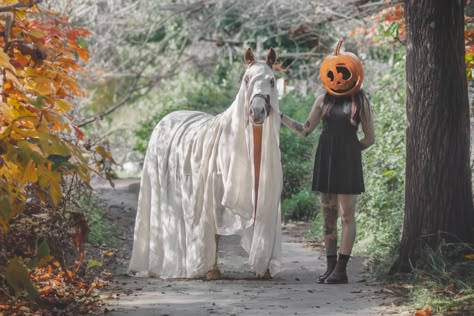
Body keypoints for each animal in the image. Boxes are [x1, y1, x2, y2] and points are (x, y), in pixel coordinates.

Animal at [129, 47, 282, 278]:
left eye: (272, 81)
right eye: (246, 79)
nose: (257, 112)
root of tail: (168, 117)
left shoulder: (259, 195)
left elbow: (259, 228)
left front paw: (263, 270)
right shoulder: (214, 197)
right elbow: (215, 233)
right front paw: (212, 271)